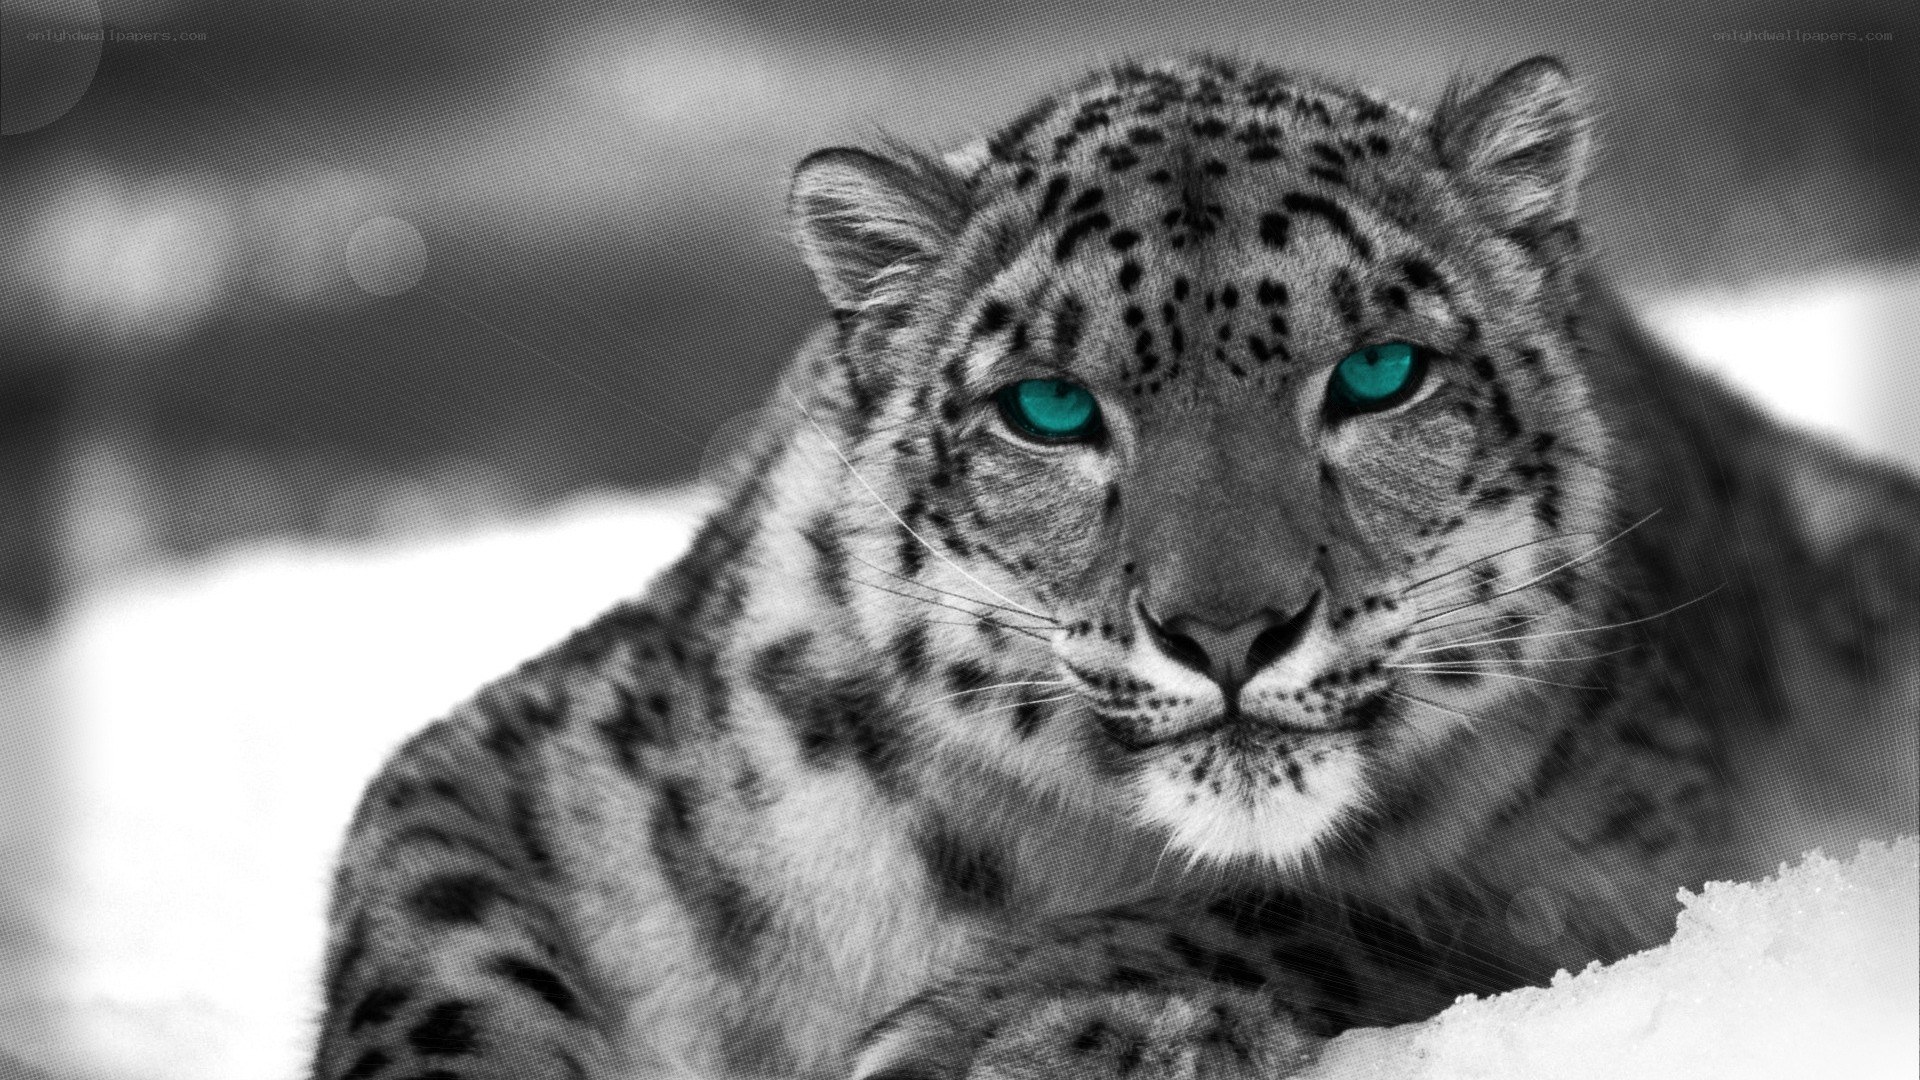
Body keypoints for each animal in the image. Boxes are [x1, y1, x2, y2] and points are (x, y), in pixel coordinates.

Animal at [310, 55, 1920, 1080]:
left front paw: (1002, 1034)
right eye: (1049, 406)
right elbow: (434, 955)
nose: (1228, 627)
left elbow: (1335, 911)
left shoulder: (1622, 866)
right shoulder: (537, 765)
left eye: (1379, 372)